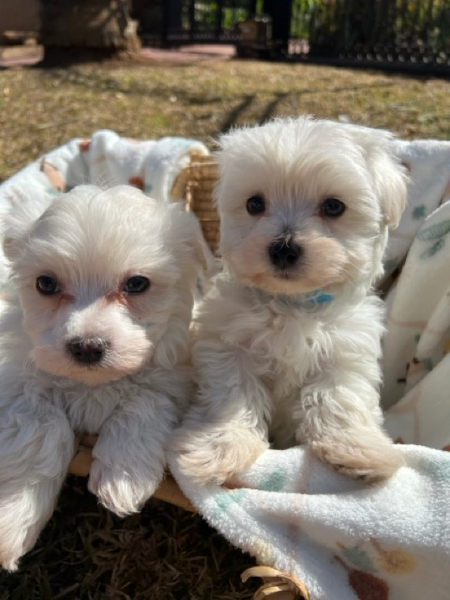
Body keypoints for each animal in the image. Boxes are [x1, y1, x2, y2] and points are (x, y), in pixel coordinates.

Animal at [175, 116, 408, 488]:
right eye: (254, 204)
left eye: (334, 206)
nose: (284, 248)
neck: (291, 305)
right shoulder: (228, 348)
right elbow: (233, 397)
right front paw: (219, 449)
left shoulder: (346, 353)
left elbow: (339, 398)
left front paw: (358, 450)